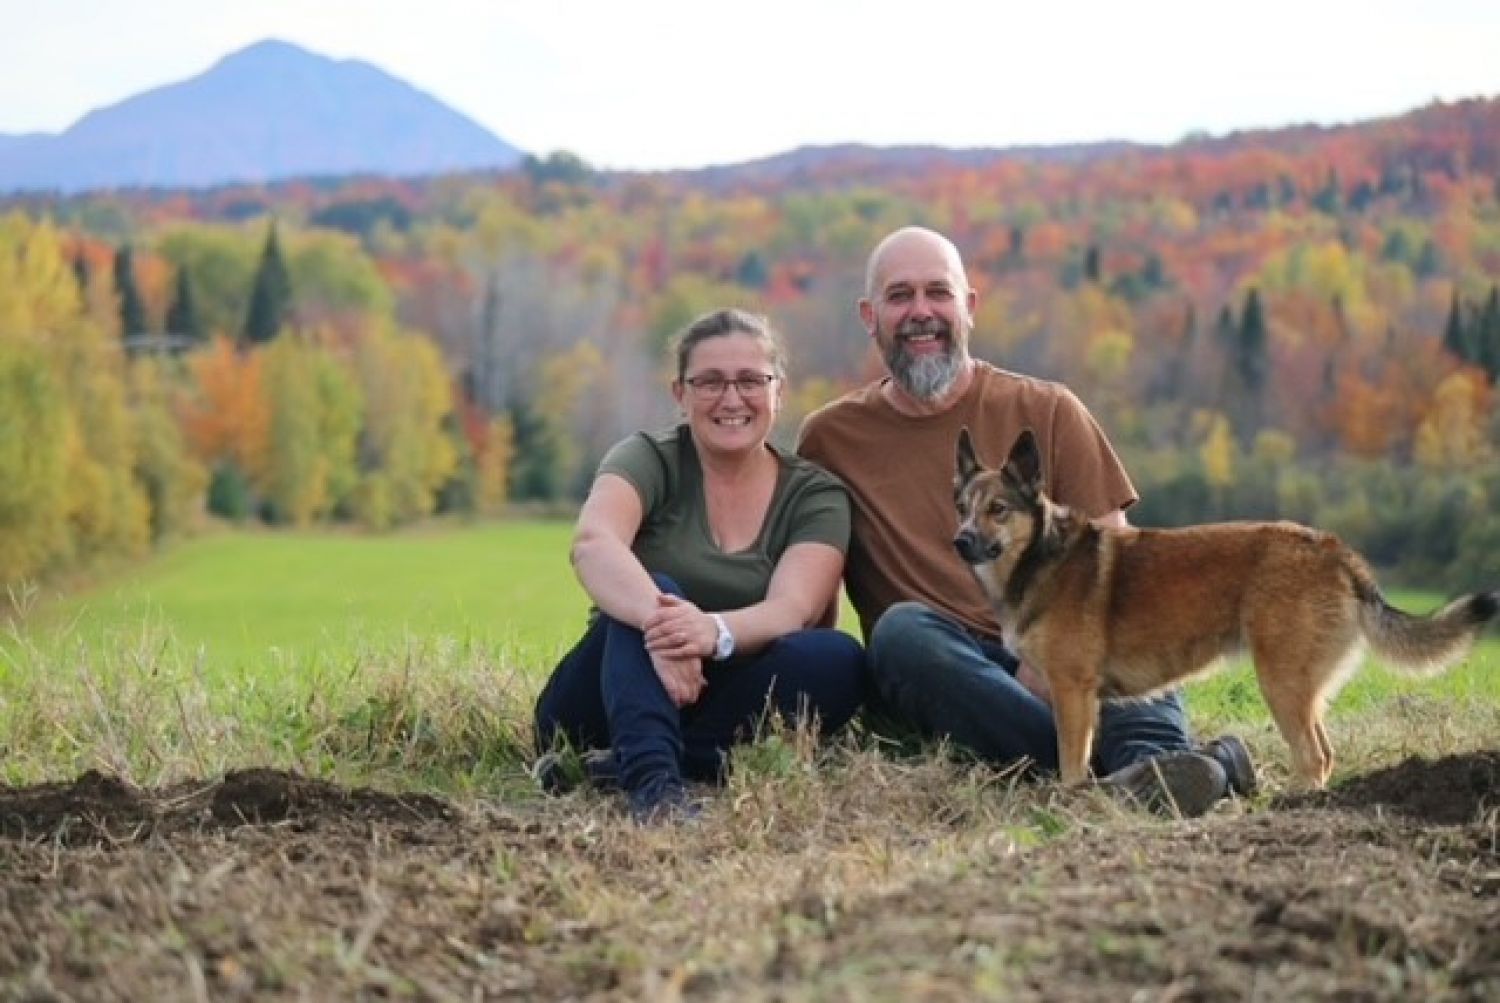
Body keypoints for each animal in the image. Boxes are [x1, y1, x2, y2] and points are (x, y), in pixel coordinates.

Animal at [954, 425, 1494, 785]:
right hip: (1301, 688)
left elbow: (1071, 763)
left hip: (1280, 682)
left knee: (1313, 757)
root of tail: (1335, 552)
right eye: (962, 507)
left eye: (997, 510)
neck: (1037, 557)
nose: (960, 540)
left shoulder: (1072, 693)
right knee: (1324, 753)